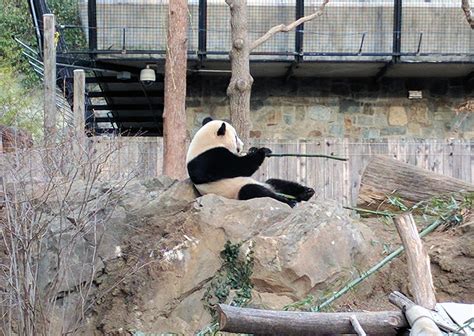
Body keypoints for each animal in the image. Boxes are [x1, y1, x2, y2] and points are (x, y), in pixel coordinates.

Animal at [186, 118, 314, 207]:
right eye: (235, 137)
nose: (242, 145)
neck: (205, 144)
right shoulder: (208, 159)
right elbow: (239, 167)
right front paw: (261, 151)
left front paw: (254, 149)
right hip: (236, 192)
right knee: (254, 191)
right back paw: (288, 201)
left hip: (268, 184)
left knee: (278, 183)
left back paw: (306, 193)